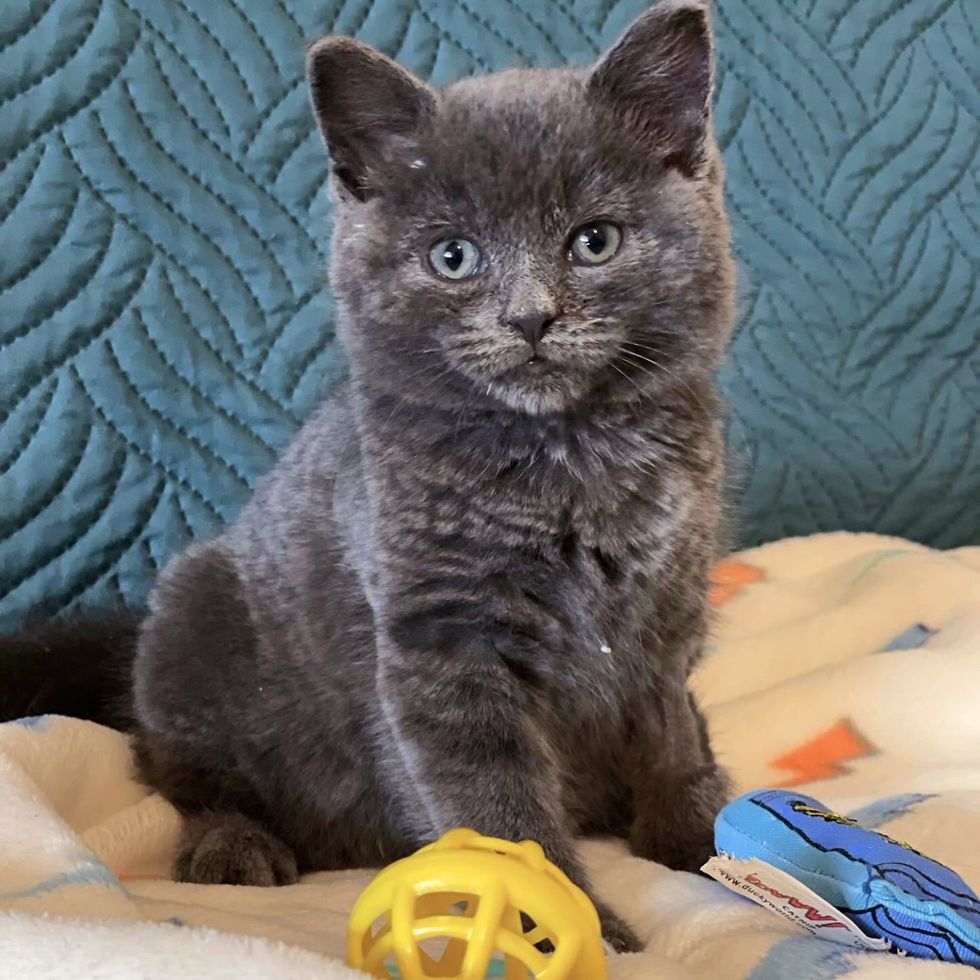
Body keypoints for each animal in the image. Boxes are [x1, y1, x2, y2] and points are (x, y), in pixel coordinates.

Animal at [1, 0, 736, 952]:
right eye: (453, 257)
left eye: (595, 242)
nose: (530, 318)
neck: (572, 459)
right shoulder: (442, 639)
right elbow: (496, 805)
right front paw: (561, 926)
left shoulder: (665, 616)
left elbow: (671, 737)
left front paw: (706, 841)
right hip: (195, 626)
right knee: (185, 778)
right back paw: (234, 848)